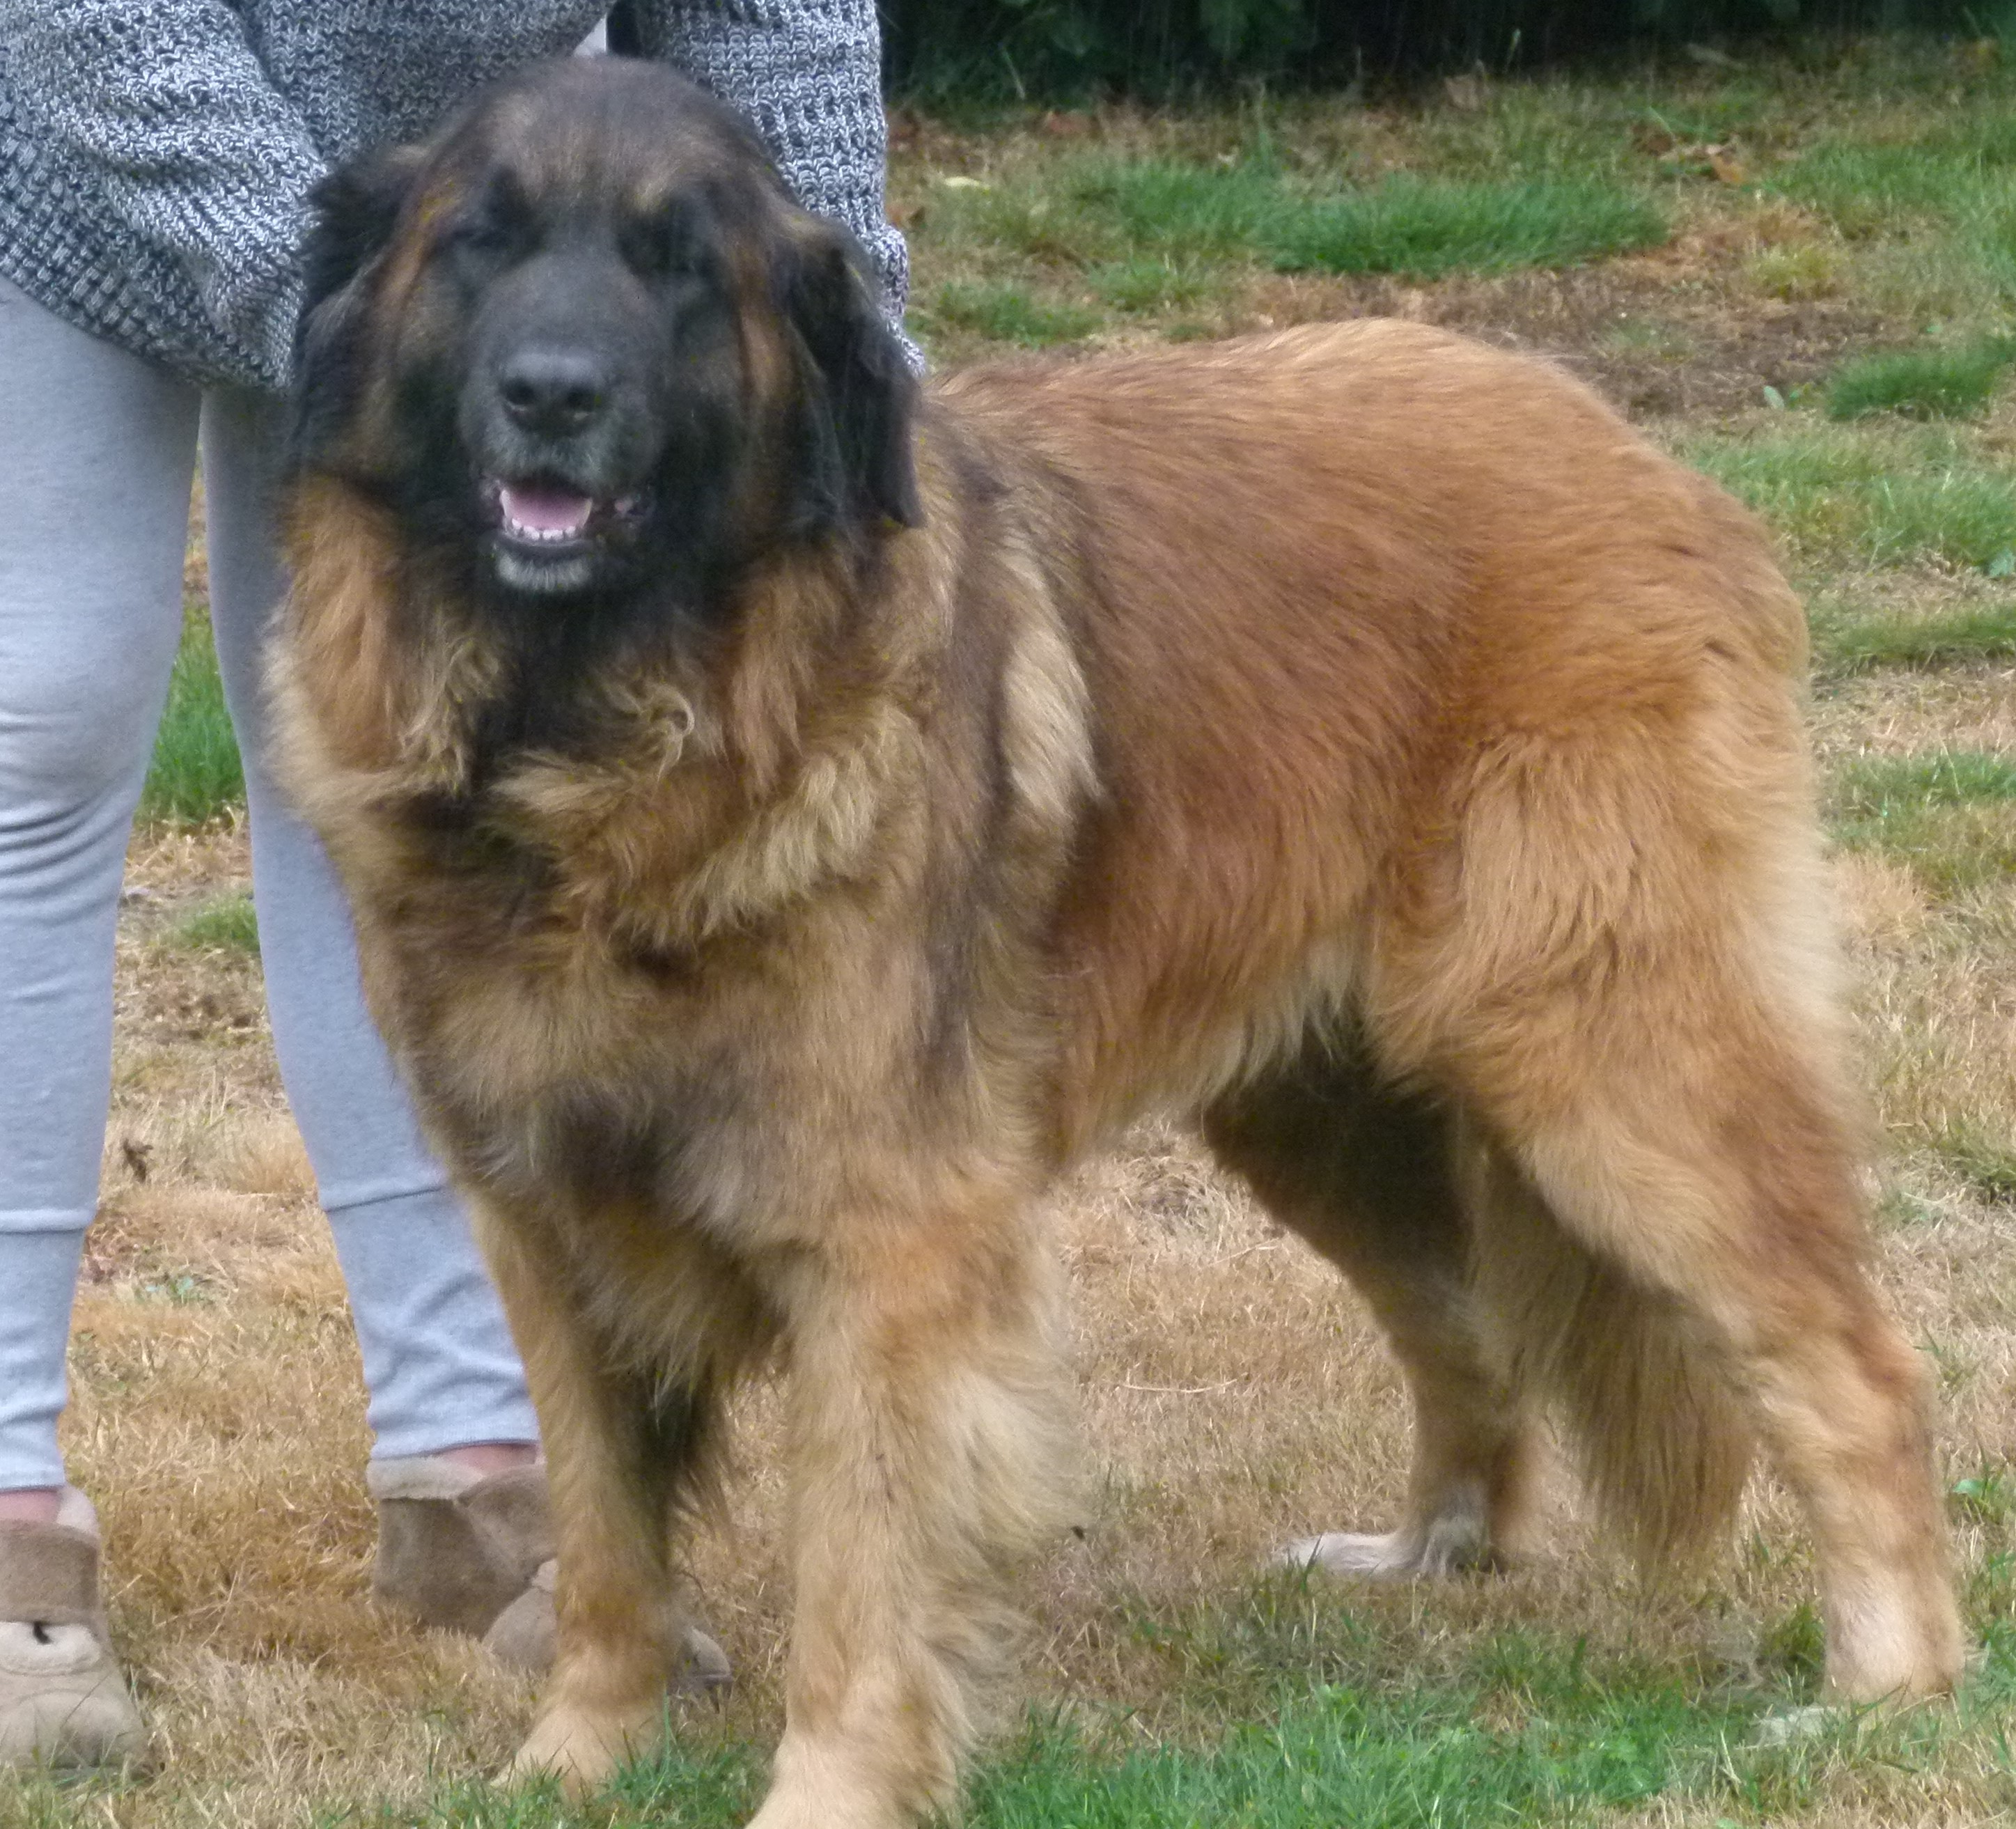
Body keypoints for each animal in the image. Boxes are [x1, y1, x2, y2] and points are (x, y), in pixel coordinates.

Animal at [268, 57, 1951, 1829]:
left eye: (679, 268)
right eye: (480, 241)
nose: (550, 396)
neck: (594, 754)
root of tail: (1634, 451)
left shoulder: (888, 1245)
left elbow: (857, 1580)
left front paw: (828, 1790)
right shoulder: (543, 1218)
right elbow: (603, 1542)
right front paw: (575, 1760)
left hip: (1608, 1064)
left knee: (1853, 1370)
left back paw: (1885, 1684)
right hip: (1325, 1109)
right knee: (1468, 1321)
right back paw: (1432, 1554)